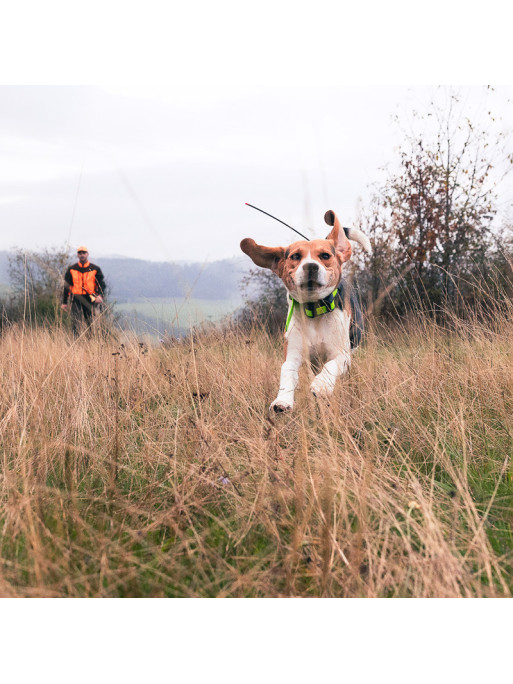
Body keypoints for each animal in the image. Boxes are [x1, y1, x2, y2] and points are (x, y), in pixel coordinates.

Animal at [239, 208, 368, 412]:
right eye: (295, 257)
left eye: (325, 256)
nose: (311, 266)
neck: (314, 309)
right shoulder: (292, 354)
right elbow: (287, 373)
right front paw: (282, 400)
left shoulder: (342, 354)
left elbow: (332, 364)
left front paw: (322, 385)